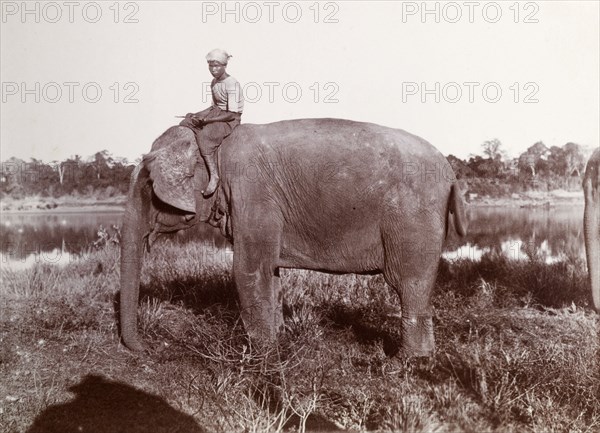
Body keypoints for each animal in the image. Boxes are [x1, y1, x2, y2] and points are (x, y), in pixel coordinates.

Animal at [118, 116, 468, 356]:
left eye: (147, 187)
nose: (150, 347)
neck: (214, 143)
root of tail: (451, 172)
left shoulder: (253, 195)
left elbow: (248, 270)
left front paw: (261, 355)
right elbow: (269, 272)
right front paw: (277, 343)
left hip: (412, 219)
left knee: (409, 283)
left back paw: (406, 361)